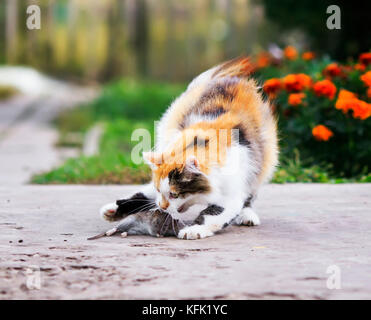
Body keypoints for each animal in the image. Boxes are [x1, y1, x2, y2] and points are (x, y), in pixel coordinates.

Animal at [97, 57, 278, 241]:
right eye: (161, 191)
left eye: (175, 194)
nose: (162, 207)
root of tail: (232, 79)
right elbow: (146, 192)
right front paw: (114, 210)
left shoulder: (231, 194)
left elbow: (213, 215)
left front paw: (193, 230)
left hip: (264, 164)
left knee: (250, 194)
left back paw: (247, 216)